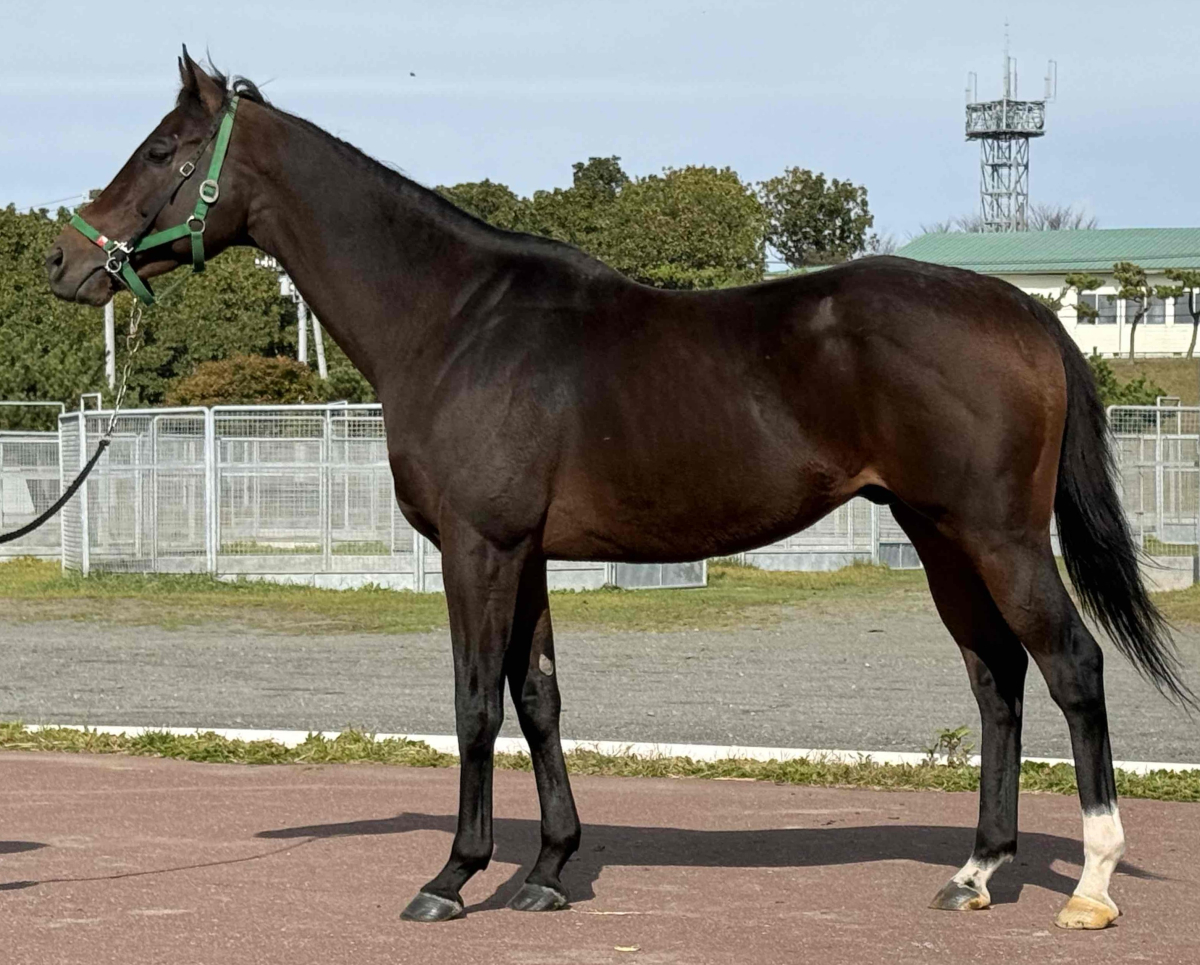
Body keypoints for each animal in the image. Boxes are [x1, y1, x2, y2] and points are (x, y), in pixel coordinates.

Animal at [45, 49, 1192, 929]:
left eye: (163, 150)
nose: (64, 259)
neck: (456, 318)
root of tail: (1026, 309)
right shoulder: (526, 552)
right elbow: (540, 697)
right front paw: (549, 868)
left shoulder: (479, 546)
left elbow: (473, 701)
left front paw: (453, 875)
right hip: (941, 535)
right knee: (997, 679)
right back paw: (977, 869)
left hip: (1000, 535)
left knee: (1073, 664)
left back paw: (1088, 884)